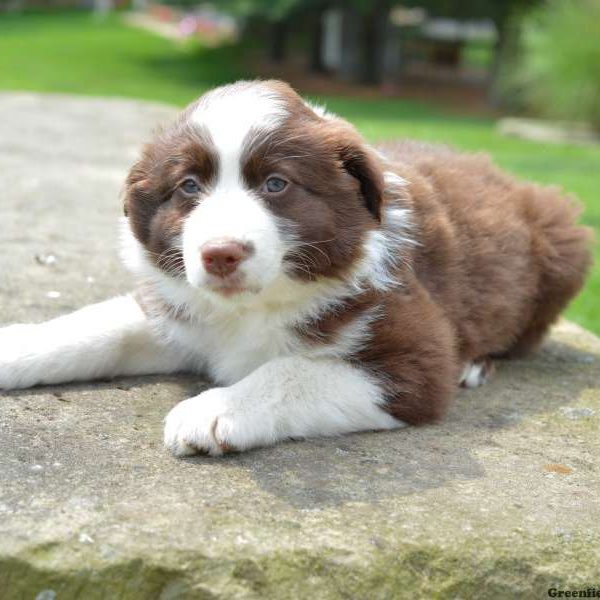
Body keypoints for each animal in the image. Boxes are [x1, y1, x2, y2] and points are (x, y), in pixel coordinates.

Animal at [0, 79, 592, 454]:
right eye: (188, 186)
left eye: (276, 184)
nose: (220, 253)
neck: (251, 307)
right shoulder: (177, 306)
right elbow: (98, 326)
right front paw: (18, 346)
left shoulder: (415, 360)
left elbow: (291, 371)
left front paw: (214, 410)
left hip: (566, 243)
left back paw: (476, 363)